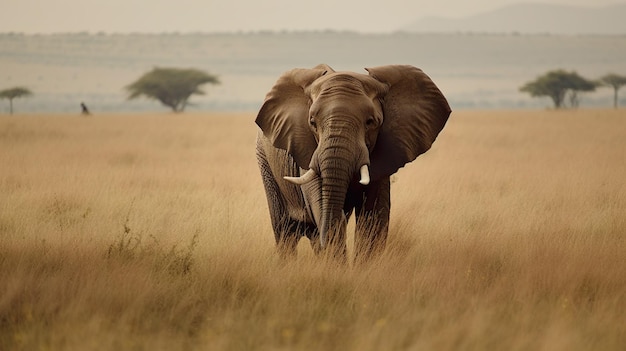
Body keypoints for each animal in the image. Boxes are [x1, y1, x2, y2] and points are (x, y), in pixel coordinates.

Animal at [254, 64, 448, 262]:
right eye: (312, 122)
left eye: (371, 122)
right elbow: (323, 208)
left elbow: (373, 218)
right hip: (265, 164)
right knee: (285, 232)